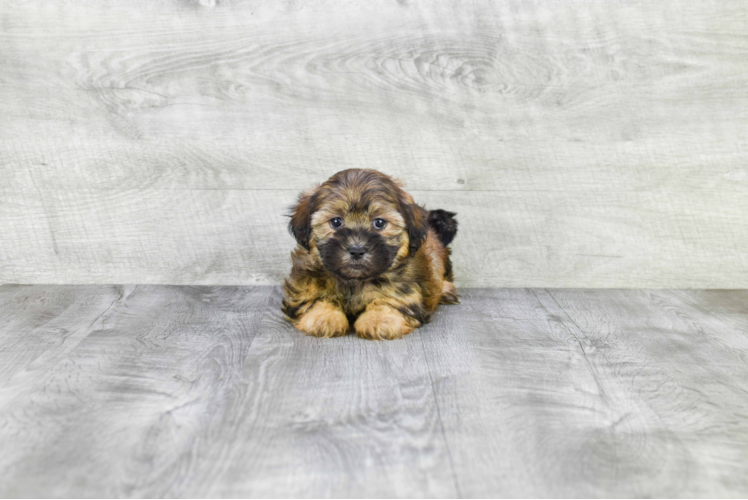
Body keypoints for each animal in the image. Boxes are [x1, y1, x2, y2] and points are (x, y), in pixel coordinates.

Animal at [280, 169, 456, 340]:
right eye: (336, 222)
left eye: (379, 223)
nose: (357, 250)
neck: (354, 281)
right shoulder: (304, 285)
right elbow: (313, 299)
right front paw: (324, 317)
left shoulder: (406, 289)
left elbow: (392, 301)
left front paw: (378, 320)